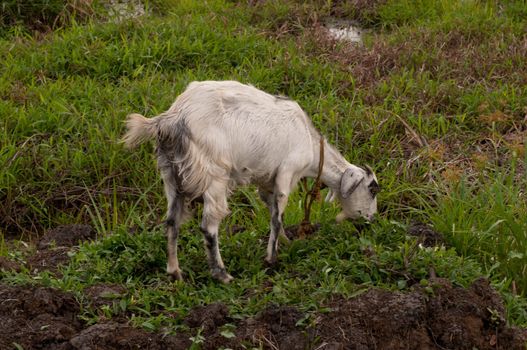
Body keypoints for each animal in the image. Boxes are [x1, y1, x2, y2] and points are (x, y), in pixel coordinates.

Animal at [124, 80, 380, 284]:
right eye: (373, 189)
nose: (370, 220)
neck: (309, 141)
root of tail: (172, 119)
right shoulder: (286, 172)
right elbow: (277, 215)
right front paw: (271, 259)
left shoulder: (266, 180)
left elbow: (272, 209)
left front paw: (285, 241)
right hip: (214, 175)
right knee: (208, 226)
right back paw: (222, 274)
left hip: (171, 174)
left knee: (171, 221)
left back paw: (175, 272)